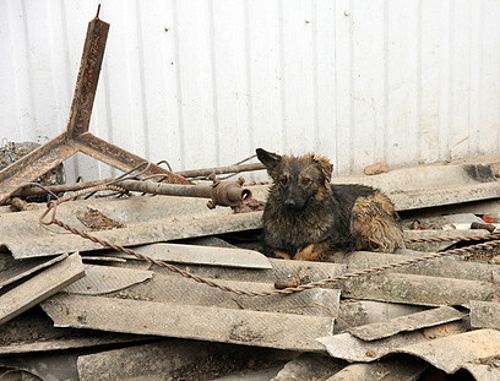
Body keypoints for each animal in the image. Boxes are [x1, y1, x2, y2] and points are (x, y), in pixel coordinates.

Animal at [256, 148, 404, 262]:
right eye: (283, 180)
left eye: (306, 180)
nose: (289, 203)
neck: (297, 218)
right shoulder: (270, 244)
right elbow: (283, 255)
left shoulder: (331, 238)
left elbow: (304, 253)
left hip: (361, 205)